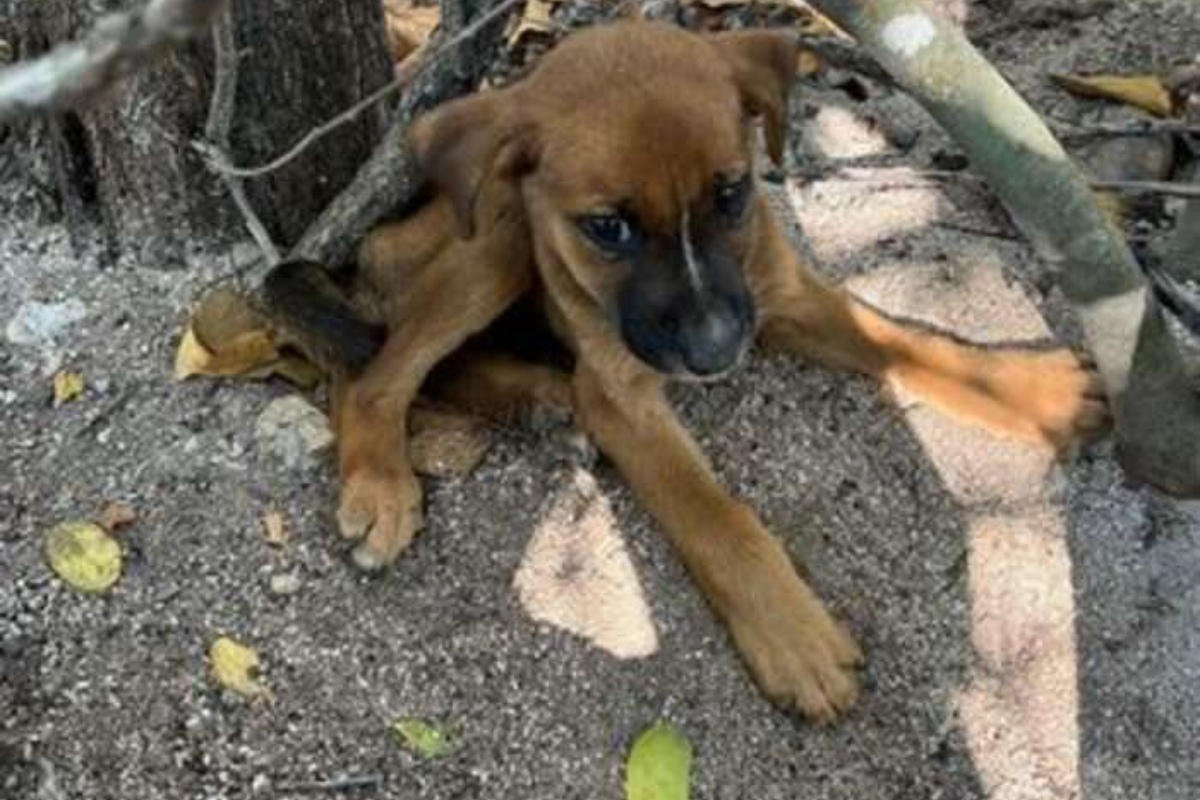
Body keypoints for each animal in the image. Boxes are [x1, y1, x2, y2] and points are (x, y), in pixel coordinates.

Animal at [267, 21, 1108, 724]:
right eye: (607, 227)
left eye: (731, 192)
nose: (716, 353)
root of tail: (367, 244)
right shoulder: (623, 396)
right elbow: (716, 517)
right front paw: (793, 635)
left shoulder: (786, 298)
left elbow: (910, 343)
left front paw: (1040, 389)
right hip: (497, 232)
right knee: (376, 372)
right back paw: (384, 485)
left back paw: (544, 401)